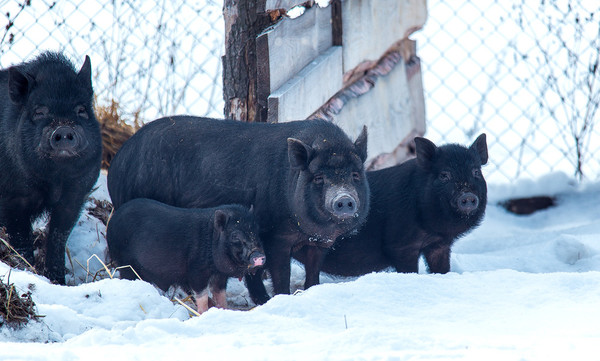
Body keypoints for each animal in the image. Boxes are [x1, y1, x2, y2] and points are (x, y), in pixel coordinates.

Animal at [0, 51, 102, 284]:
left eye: (81, 110)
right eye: (39, 112)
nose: (63, 128)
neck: (55, 181)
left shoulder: (75, 196)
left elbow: (58, 236)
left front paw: (57, 281)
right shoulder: (12, 199)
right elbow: (20, 239)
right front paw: (27, 270)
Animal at [106, 198, 266, 314]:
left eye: (256, 231)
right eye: (235, 236)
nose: (258, 255)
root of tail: (112, 220)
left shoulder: (220, 276)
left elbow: (220, 295)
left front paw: (224, 310)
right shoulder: (197, 272)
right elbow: (201, 295)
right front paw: (203, 313)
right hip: (126, 263)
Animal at [296, 134, 488, 276]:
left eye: (476, 172)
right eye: (444, 175)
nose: (468, 196)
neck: (433, 229)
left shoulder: (439, 245)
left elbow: (442, 269)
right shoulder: (401, 246)